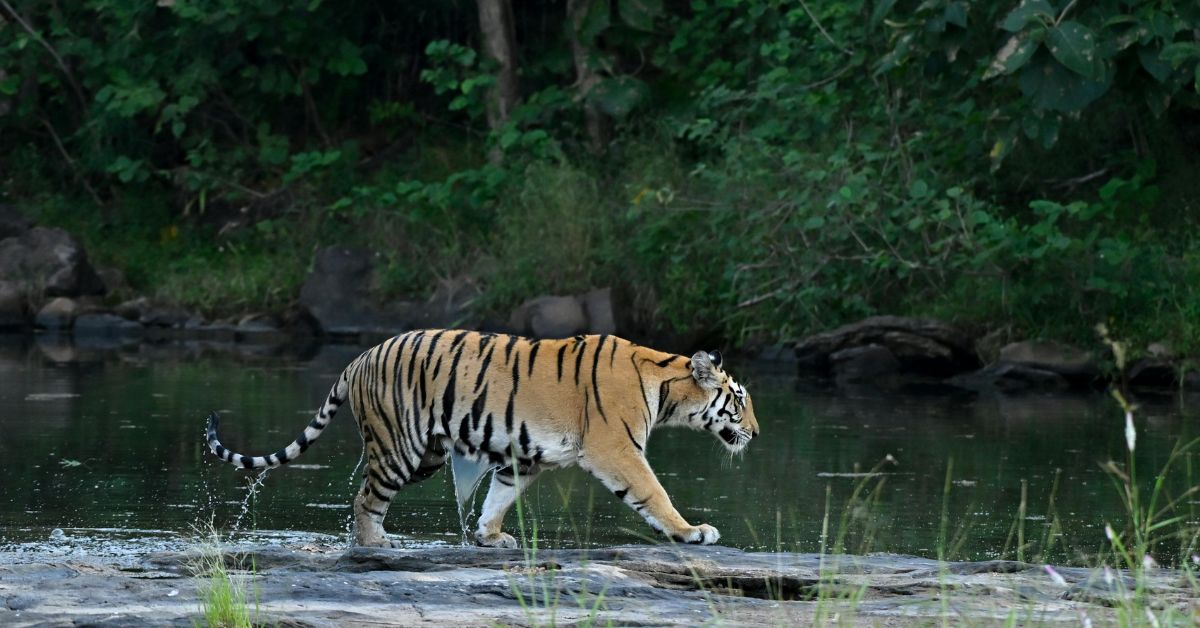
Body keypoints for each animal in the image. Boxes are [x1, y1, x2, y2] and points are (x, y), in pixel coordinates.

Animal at [205, 329, 759, 548]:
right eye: (739, 400)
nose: (756, 432)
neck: (666, 387)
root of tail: (359, 357)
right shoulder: (617, 449)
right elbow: (654, 493)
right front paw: (692, 531)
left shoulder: (525, 456)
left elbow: (499, 495)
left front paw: (490, 536)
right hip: (400, 448)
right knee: (365, 499)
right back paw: (375, 543)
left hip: (426, 453)